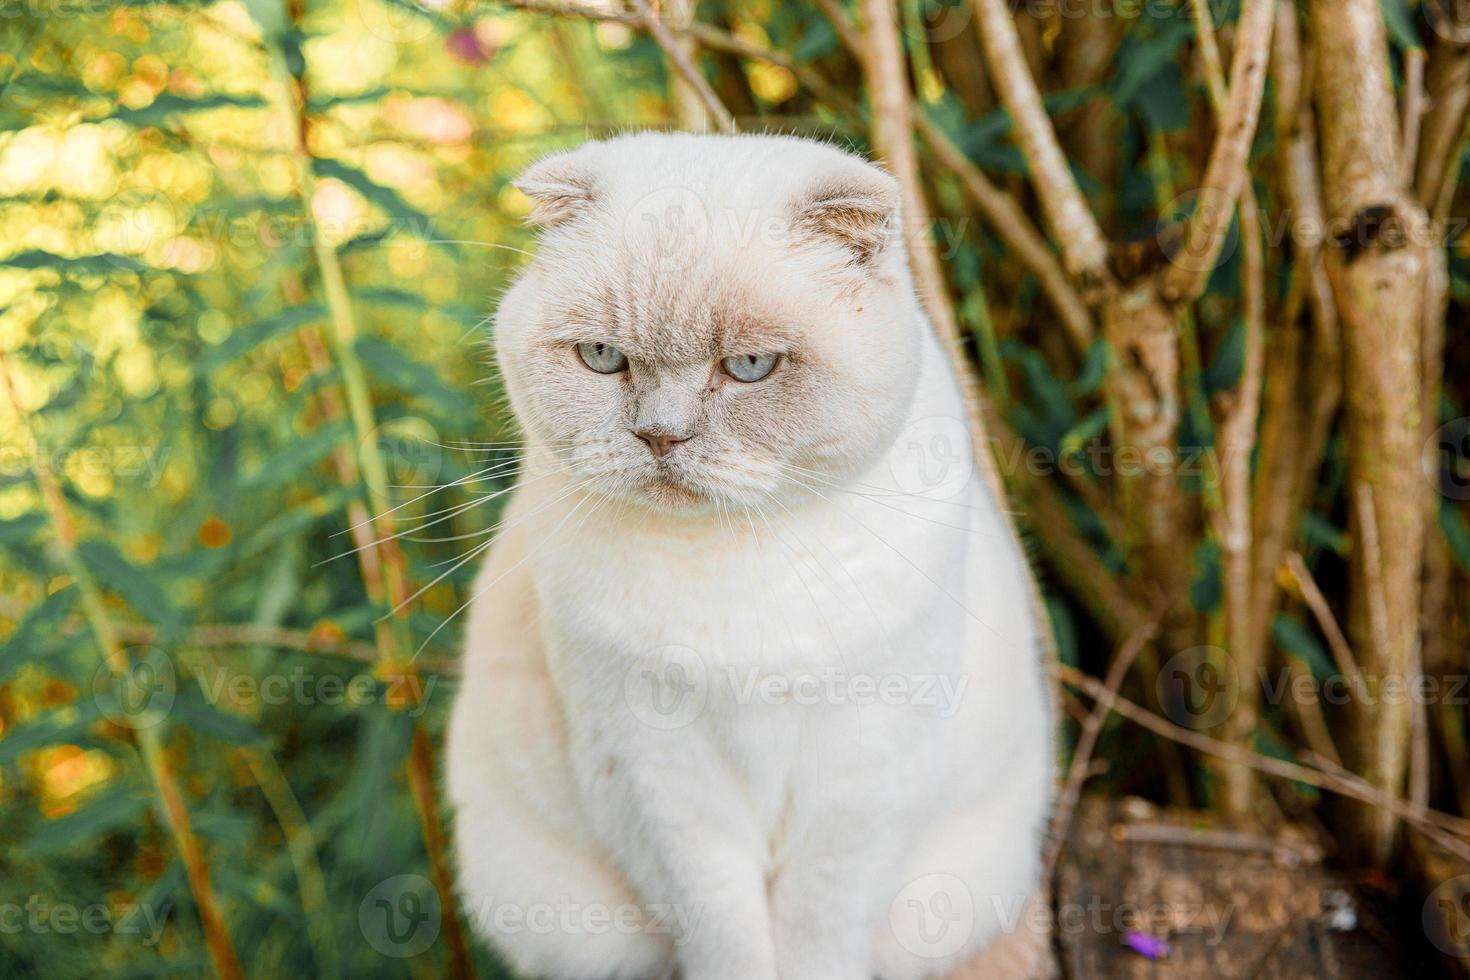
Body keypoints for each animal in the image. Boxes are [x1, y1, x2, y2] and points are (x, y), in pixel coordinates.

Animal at [446, 132, 1058, 980]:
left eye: (749, 368)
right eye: (603, 357)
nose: (661, 438)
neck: (734, 559)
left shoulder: (861, 778)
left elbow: (817, 940)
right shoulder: (657, 783)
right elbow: (726, 937)